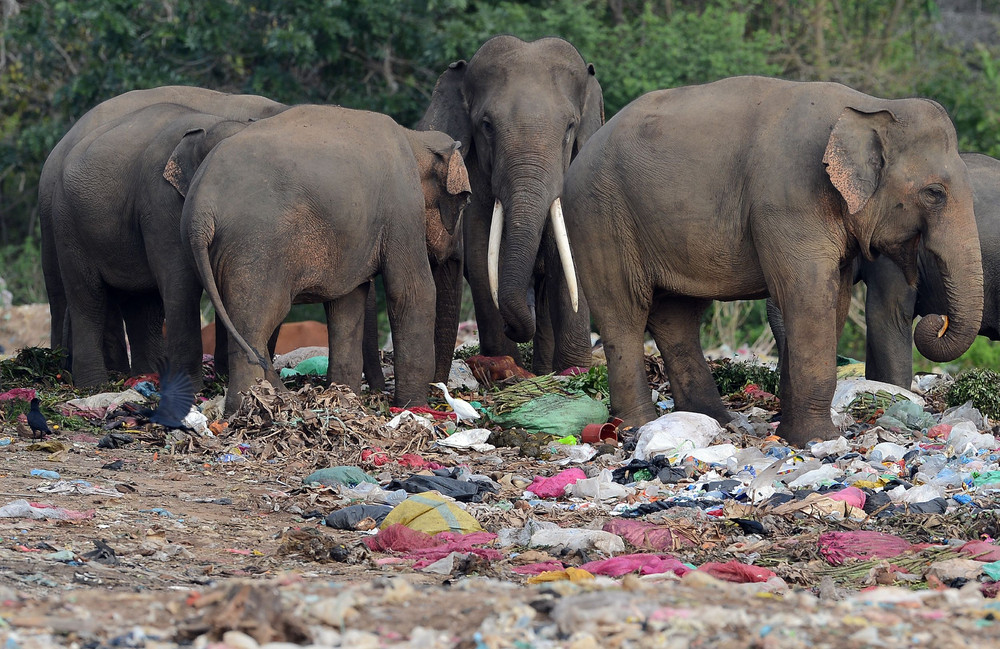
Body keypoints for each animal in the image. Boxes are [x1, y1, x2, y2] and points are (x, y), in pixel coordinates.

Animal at [37, 87, 284, 380]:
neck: (211, 123)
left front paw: (223, 378)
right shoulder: (159, 198)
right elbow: (179, 279)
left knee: (141, 303)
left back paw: (142, 375)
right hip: (65, 222)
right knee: (86, 298)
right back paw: (93, 382)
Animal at [181, 104, 472, 412]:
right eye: (465, 201)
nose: (440, 393)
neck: (415, 138)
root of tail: (200, 211)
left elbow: (348, 302)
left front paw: (344, 396)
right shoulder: (403, 205)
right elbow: (412, 291)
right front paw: (412, 407)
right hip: (255, 247)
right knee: (256, 323)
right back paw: (250, 406)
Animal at [420, 35, 604, 374]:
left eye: (570, 127)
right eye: (487, 125)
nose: (512, 326)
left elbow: (569, 259)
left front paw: (575, 370)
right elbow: (481, 255)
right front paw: (503, 364)